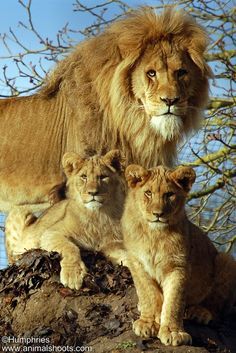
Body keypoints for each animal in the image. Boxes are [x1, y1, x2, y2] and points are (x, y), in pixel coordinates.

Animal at [5, 148, 125, 288]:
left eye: (103, 177)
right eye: (84, 177)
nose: (93, 193)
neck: (98, 215)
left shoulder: (113, 244)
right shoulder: (51, 233)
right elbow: (69, 247)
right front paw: (73, 275)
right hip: (20, 210)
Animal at [121, 164, 236, 346]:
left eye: (169, 194)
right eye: (148, 193)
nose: (158, 214)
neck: (154, 235)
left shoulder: (178, 267)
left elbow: (174, 301)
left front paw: (173, 332)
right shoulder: (137, 263)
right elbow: (148, 293)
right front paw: (148, 322)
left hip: (227, 260)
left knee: (218, 309)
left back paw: (199, 313)